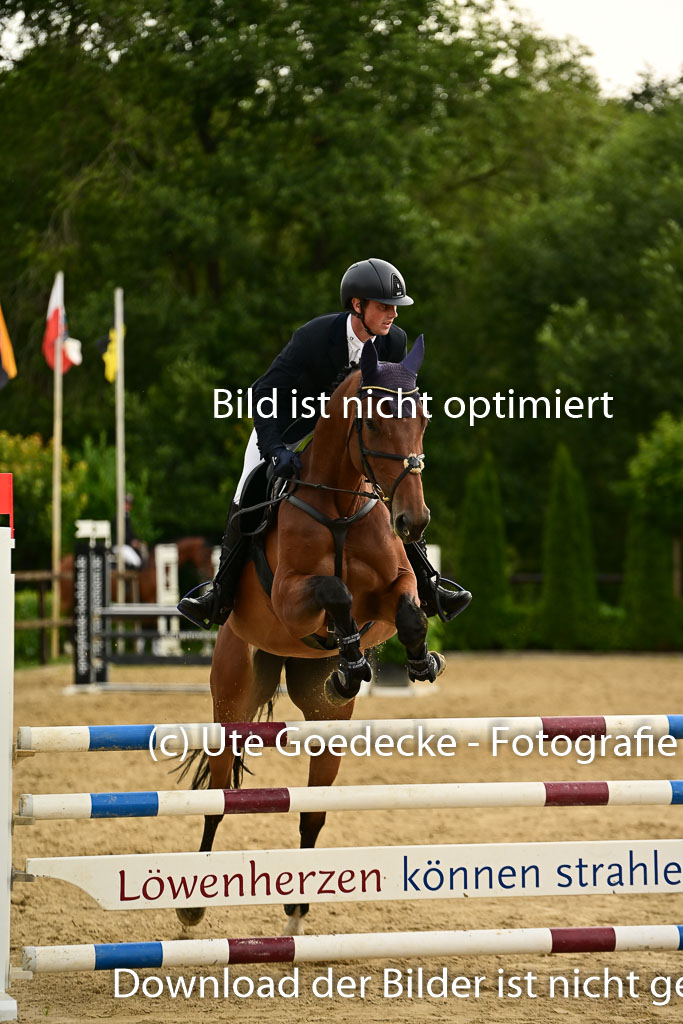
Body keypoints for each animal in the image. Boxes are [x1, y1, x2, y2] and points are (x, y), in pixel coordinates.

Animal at [178, 335, 445, 934]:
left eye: (422, 419)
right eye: (374, 424)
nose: (414, 521)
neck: (341, 507)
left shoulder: (392, 591)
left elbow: (408, 609)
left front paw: (416, 663)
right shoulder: (290, 599)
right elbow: (335, 593)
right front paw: (352, 659)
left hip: (327, 728)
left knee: (313, 811)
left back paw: (297, 912)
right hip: (232, 694)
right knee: (220, 794)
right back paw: (191, 906)